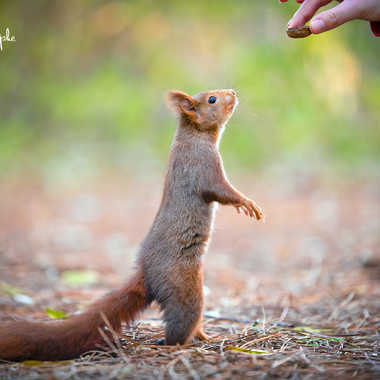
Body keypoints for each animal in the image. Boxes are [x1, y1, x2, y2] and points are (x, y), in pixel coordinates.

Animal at [0, 90, 262, 362]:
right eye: (212, 100)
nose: (233, 93)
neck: (194, 136)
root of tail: (147, 274)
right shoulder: (202, 165)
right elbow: (220, 189)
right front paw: (246, 203)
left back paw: (207, 336)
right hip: (185, 288)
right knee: (179, 326)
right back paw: (177, 345)